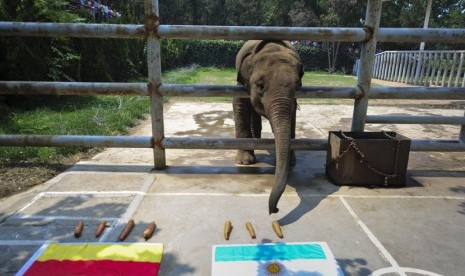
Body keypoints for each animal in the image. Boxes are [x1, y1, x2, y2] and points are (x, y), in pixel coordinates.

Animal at [232, 40, 304, 215]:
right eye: (260, 85)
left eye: (298, 85)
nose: (275, 209)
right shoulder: (242, 82)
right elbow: (240, 106)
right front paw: (245, 162)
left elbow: (292, 114)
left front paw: (290, 161)